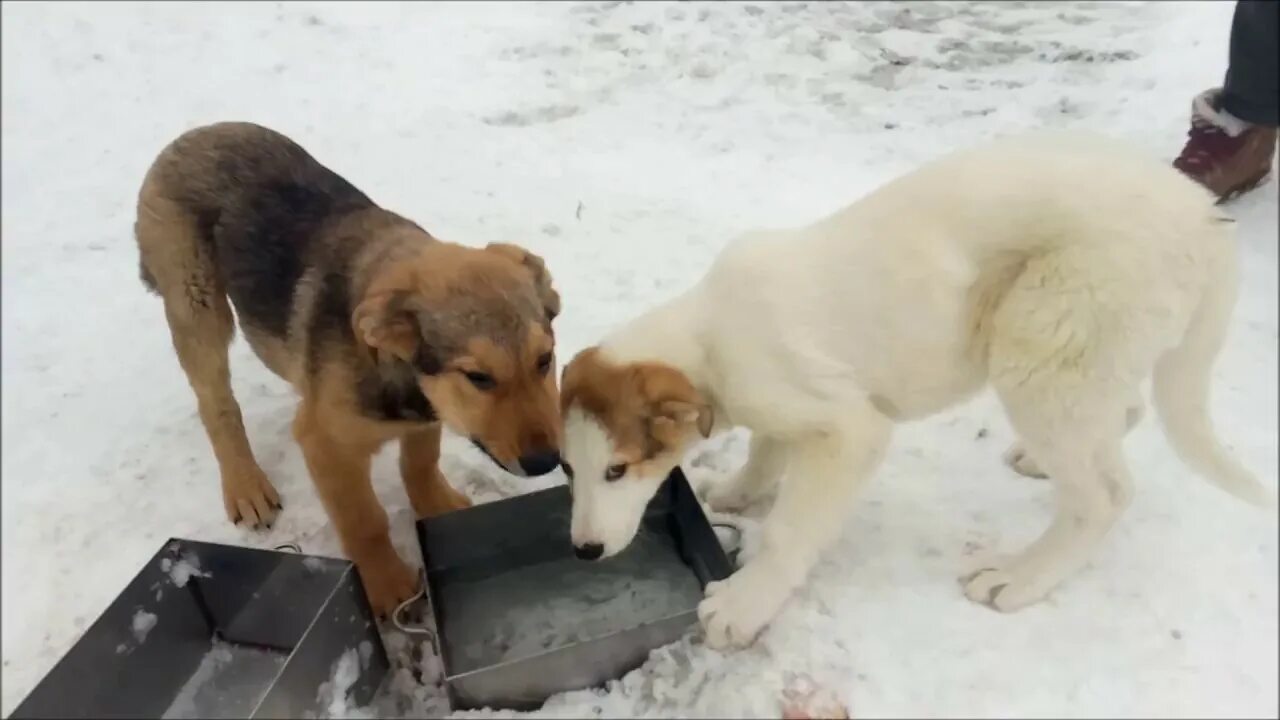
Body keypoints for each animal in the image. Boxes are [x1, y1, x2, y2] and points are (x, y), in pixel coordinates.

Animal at [135, 121, 565, 609]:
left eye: (544, 360)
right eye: (478, 378)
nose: (546, 462)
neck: (402, 380)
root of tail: (193, 133)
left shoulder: (423, 418)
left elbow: (420, 463)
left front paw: (438, 508)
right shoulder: (326, 445)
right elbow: (365, 522)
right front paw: (389, 587)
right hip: (197, 303)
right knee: (215, 403)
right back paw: (246, 485)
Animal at [560, 130, 1269, 650]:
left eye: (618, 470)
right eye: (569, 469)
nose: (584, 551)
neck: (707, 335)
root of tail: (1204, 217)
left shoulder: (847, 429)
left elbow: (790, 529)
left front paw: (747, 601)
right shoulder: (785, 409)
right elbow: (767, 451)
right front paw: (736, 492)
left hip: (1042, 341)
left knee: (1104, 494)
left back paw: (1022, 575)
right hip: (1083, 357)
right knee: (1120, 413)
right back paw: (1042, 461)